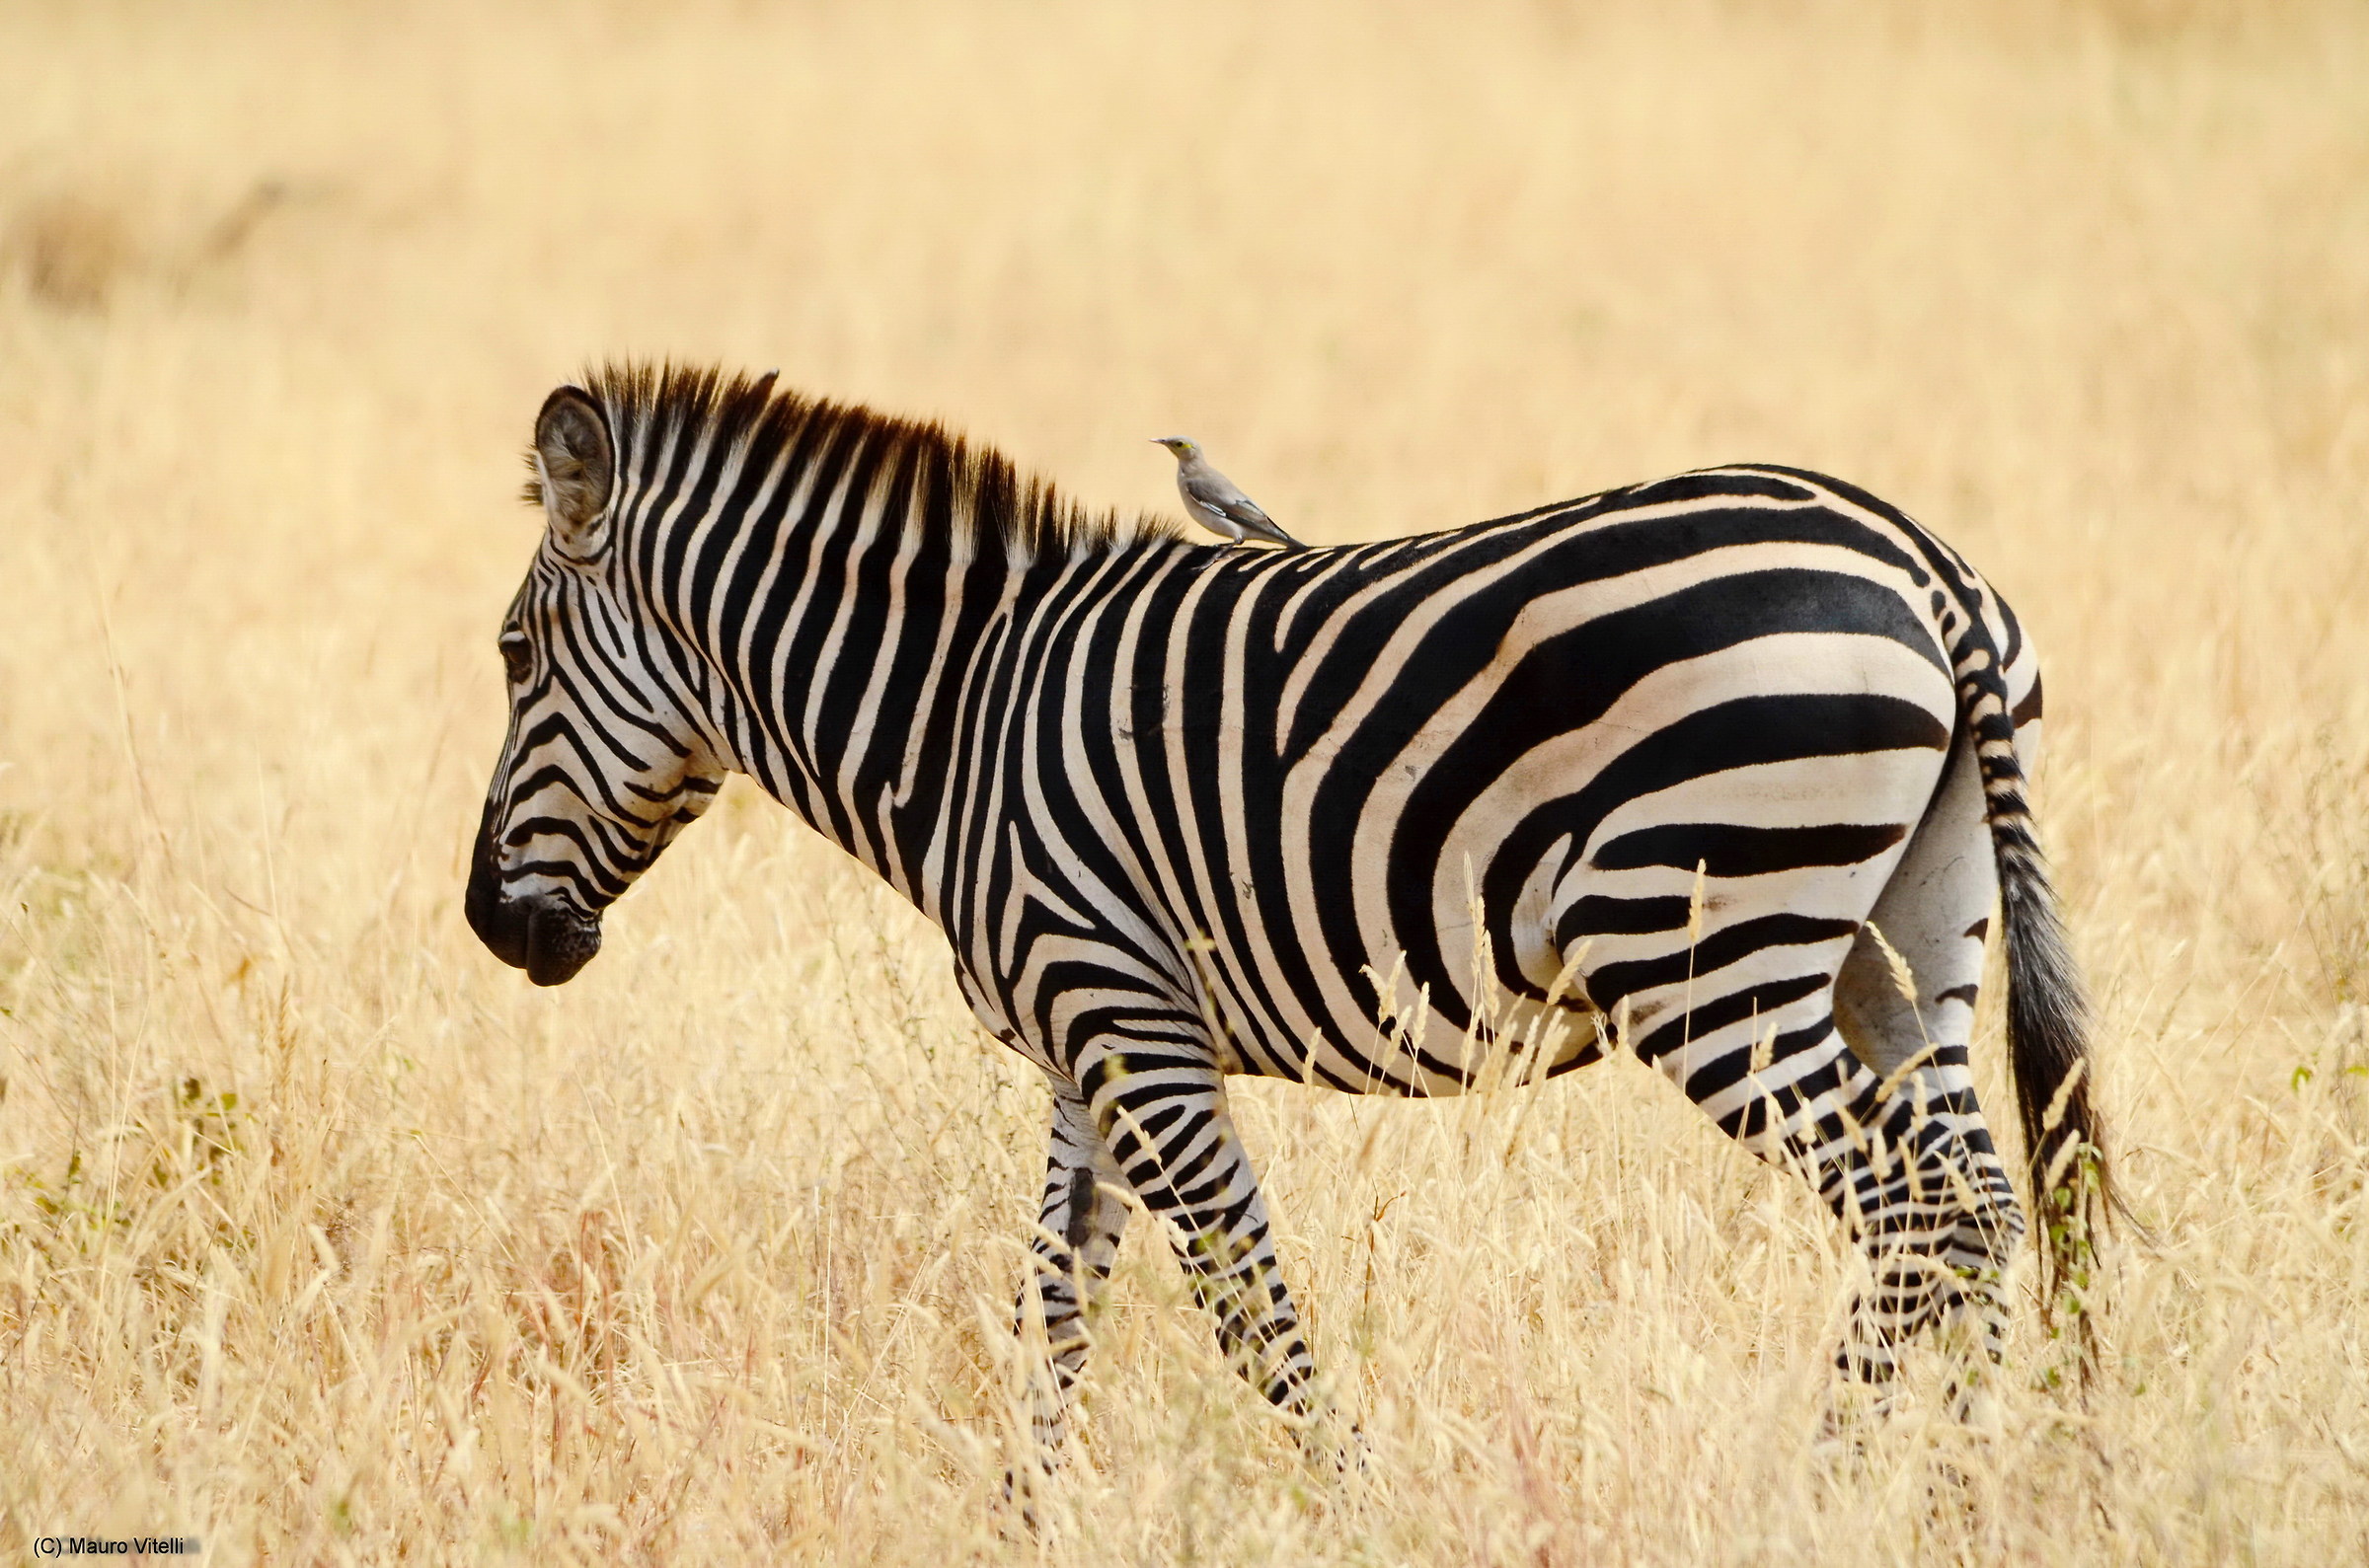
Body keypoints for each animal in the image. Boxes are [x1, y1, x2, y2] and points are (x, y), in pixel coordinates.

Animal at [465, 363, 2112, 1461]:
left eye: (509, 655)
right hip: (1906, 950)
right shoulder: (1087, 1042)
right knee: (1980, 1205)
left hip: (1709, 957)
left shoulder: (1128, 1025)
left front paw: (1348, 1505)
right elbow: (1057, 1313)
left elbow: (1248, 1310)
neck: (961, 712)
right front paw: (1023, 1514)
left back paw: (1825, 1481)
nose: (490, 928)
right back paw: (1957, 1492)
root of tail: (1928, 567)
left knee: (1928, 1213)